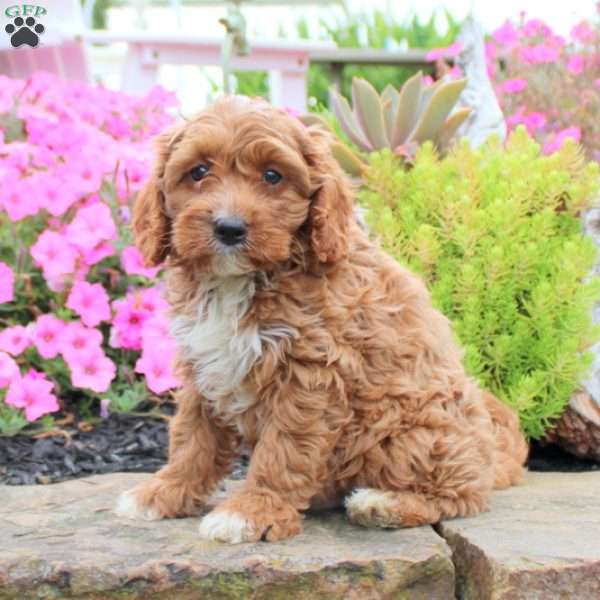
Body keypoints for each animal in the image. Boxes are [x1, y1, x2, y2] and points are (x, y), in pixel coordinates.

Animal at [115, 95, 528, 544]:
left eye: (273, 175)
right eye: (199, 171)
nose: (229, 228)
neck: (242, 281)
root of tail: (488, 457)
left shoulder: (311, 373)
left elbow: (283, 449)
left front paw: (251, 512)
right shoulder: (205, 364)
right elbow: (192, 438)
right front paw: (163, 492)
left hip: (414, 430)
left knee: (461, 496)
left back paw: (383, 504)